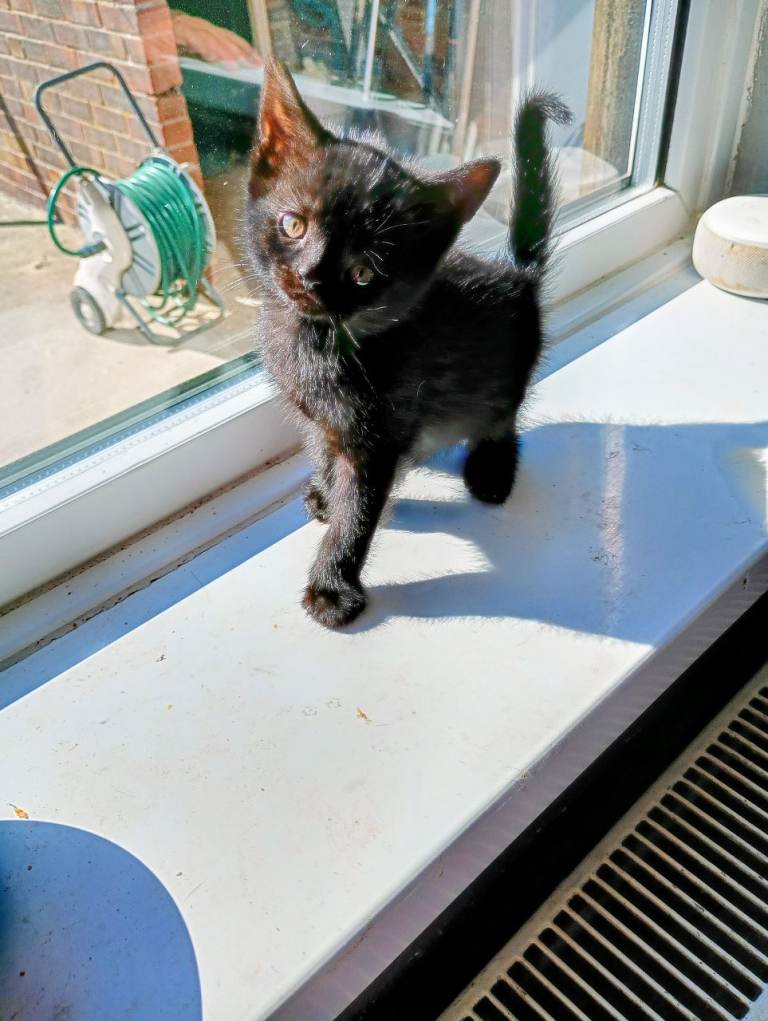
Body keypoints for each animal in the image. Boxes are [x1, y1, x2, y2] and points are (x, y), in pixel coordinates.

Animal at [244, 59, 570, 629]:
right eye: (293, 224)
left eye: (362, 272)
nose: (309, 278)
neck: (320, 340)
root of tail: (519, 276)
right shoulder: (323, 417)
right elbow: (325, 452)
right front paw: (326, 492)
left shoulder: (380, 436)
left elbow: (359, 513)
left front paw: (333, 587)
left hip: (506, 378)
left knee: (503, 417)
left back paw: (492, 468)